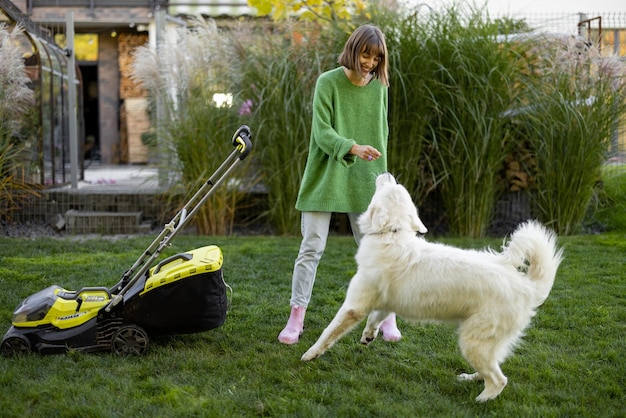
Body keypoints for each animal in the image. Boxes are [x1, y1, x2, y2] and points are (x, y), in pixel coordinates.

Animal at [300, 172, 564, 402]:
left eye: (390, 187)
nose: (387, 173)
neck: (393, 234)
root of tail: (527, 286)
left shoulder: (354, 306)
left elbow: (329, 332)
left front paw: (310, 354)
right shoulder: (385, 301)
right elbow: (376, 318)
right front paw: (368, 336)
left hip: (473, 341)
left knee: (499, 380)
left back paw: (481, 400)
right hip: (484, 345)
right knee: (490, 370)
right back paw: (470, 378)